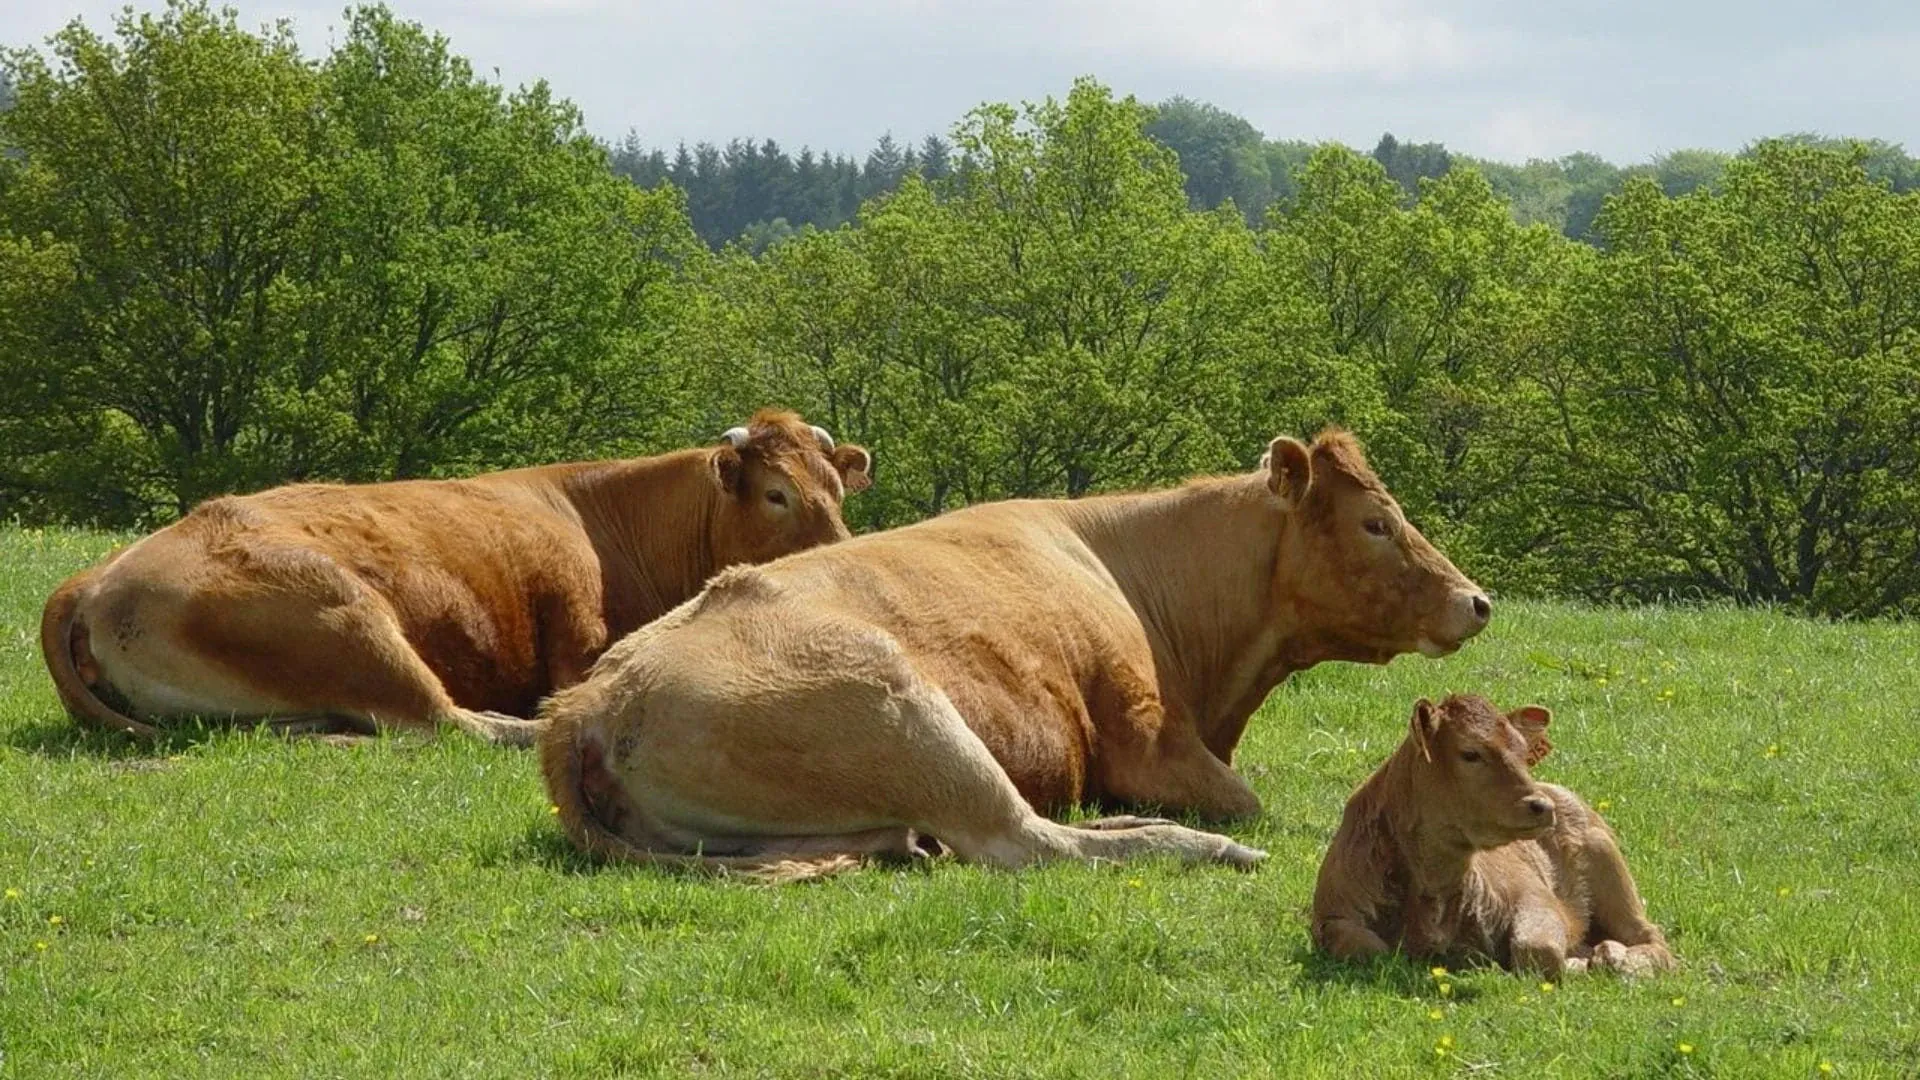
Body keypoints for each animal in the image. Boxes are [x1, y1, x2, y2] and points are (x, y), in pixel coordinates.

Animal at [39, 410, 871, 746]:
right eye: (777, 493)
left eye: (836, 486)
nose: (844, 552)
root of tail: (97, 578)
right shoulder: (577, 637)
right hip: (346, 618)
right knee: (446, 722)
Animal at [538, 428, 1492, 876]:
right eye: (1376, 522)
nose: (1475, 601)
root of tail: (588, 702)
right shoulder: (1149, 737)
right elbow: (1247, 799)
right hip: (909, 711)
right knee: (1025, 840)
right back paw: (1198, 846)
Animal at [1311, 694, 1675, 978]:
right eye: (1470, 753)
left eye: (1523, 752)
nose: (1540, 806)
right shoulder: (1333, 915)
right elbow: (1373, 951)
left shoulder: (1533, 894)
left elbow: (1538, 950)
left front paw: (1585, 962)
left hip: (1608, 865)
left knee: (1653, 939)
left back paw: (1615, 957)